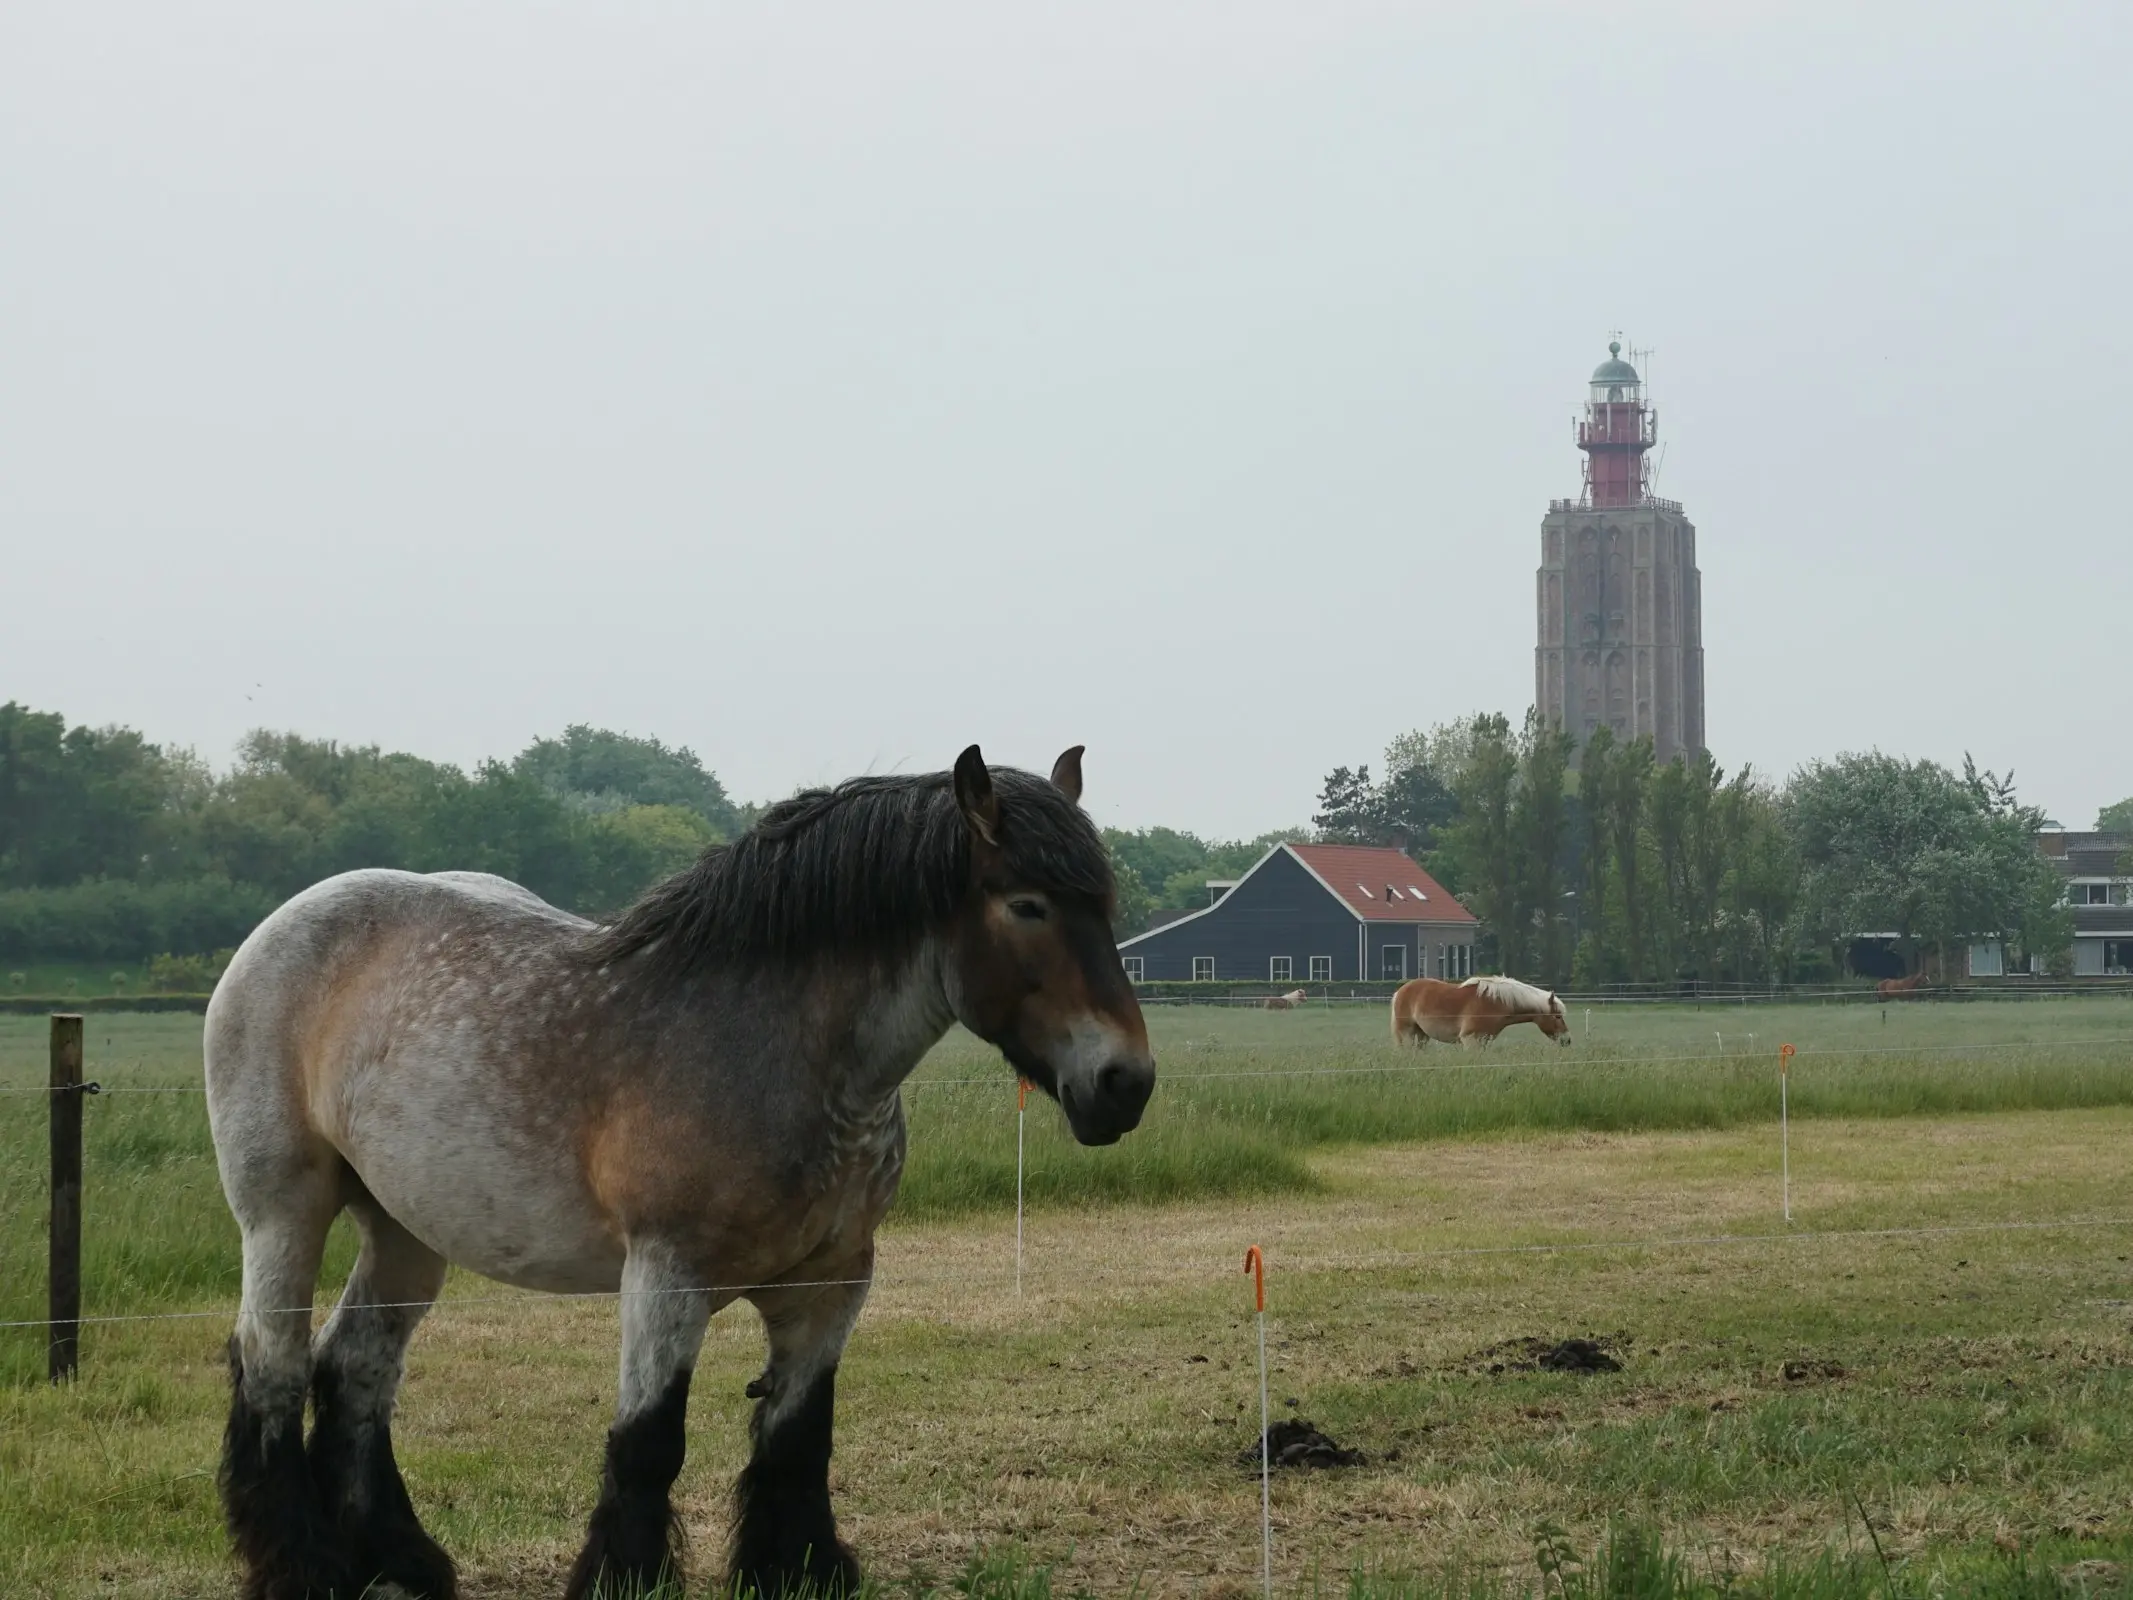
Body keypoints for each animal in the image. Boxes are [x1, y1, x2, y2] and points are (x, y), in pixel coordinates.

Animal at [207, 750, 1160, 1600]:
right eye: (1028, 905)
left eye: (1104, 905)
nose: (1125, 1083)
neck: (776, 1051)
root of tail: (283, 925)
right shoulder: (668, 1273)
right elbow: (649, 1440)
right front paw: (625, 1578)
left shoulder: (833, 1282)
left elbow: (796, 1436)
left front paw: (796, 1571)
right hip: (283, 1211)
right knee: (274, 1365)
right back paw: (306, 1571)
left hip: (405, 1229)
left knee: (356, 1370)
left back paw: (399, 1564)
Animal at [1390, 977, 1578, 1053]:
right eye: (1558, 1016)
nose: (1567, 1039)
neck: (1495, 1002)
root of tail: (1401, 990)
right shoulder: (1470, 1040)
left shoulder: (1484, 1040)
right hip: (1406, 1033)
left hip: (1422, 1035)